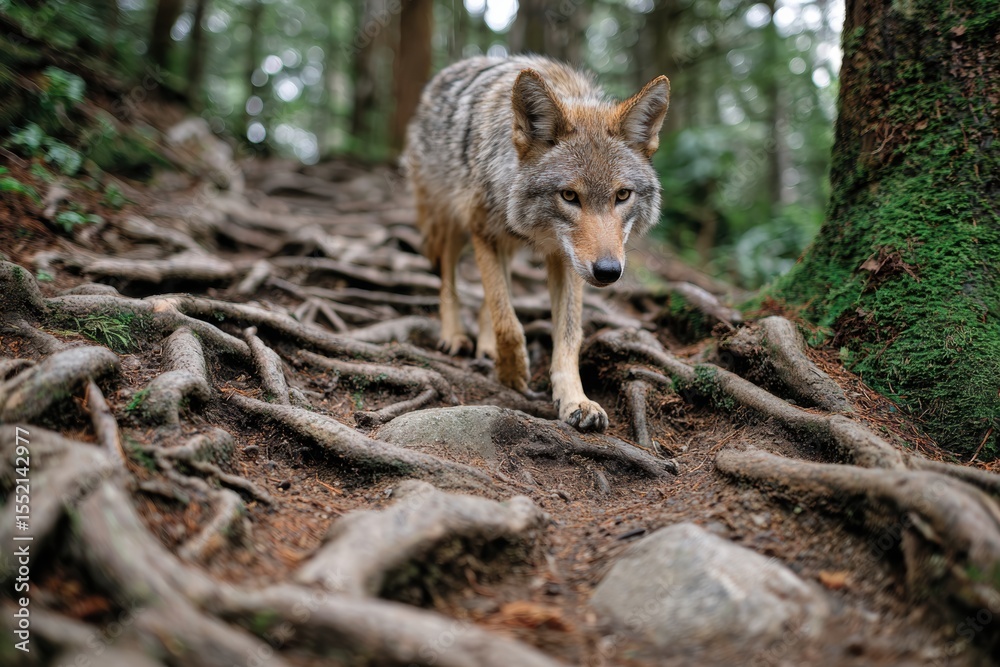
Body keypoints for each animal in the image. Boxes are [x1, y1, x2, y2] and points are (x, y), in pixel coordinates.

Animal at [403, 56, 669, 433]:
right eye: (569, 196)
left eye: (622, 196)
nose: (608, 272)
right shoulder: (483, 233)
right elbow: (508, 321)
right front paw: (512, 374)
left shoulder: (567, 261)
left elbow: (568, 335)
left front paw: (575, 400)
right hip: (451, 223)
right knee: (449, 281)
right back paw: (454, 336)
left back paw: (486, 347)